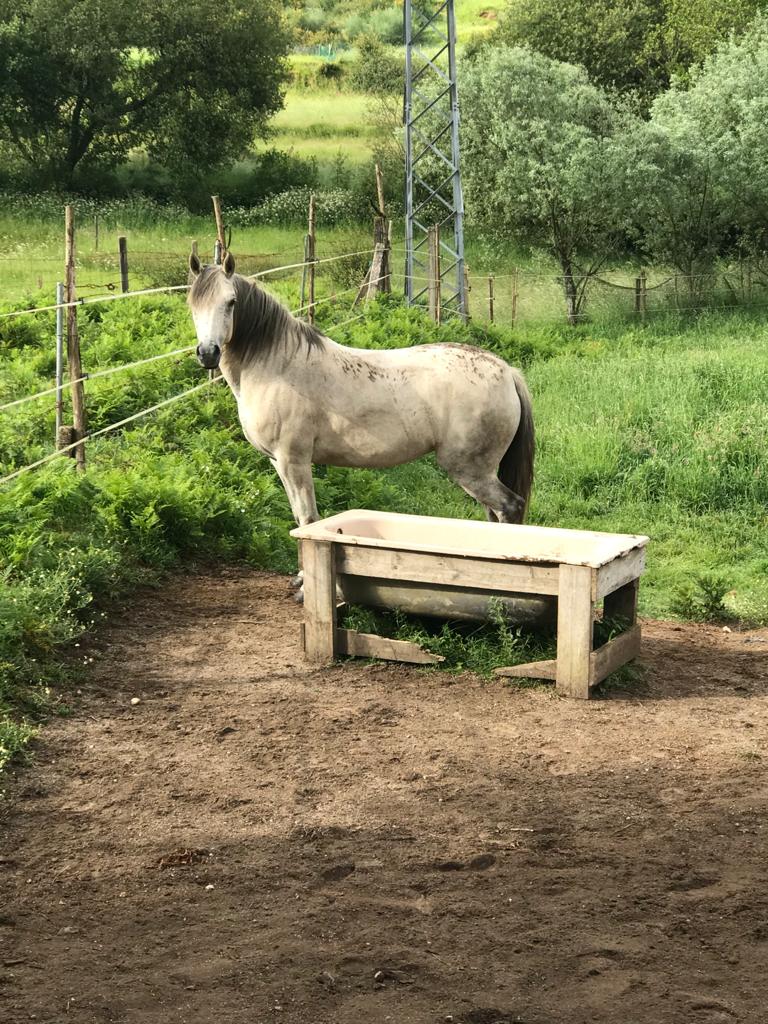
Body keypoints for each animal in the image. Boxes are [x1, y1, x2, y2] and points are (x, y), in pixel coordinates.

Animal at [187, 252, 535, 538]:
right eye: (192, 304)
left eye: (231, 302)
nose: (208, 353)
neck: (277, 365)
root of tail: (506, 372)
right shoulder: (278, 462)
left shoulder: (293, 461)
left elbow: (308, 519)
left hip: (470, 469)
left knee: (509, 507)